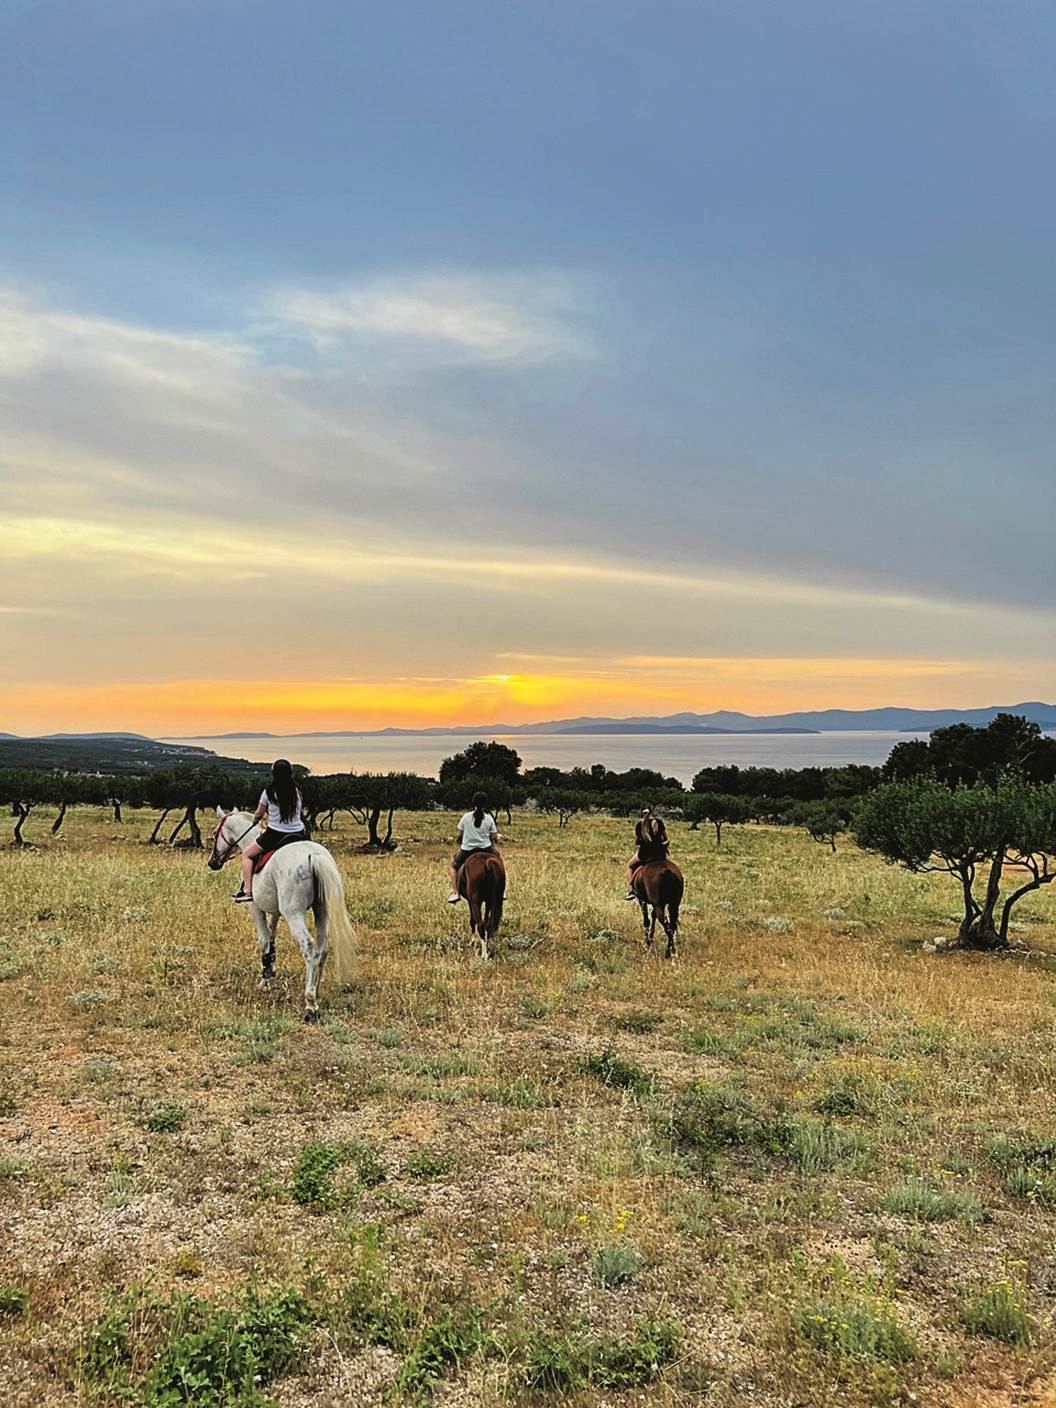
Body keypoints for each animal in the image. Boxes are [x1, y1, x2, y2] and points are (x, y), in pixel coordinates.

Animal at [206, 811, 356, 1019]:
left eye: (215, 834)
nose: (213, 862)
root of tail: (313, 855)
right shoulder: (276, 911)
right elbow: (272, 937)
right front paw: (270, 969)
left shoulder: (256, 908)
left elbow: (264, 940)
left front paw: (264, 981)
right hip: (322, 910)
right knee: (323, 947)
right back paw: (316, 990)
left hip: (294, 914)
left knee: (309, 947)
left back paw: (310, 1002)